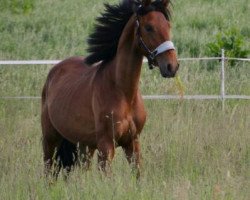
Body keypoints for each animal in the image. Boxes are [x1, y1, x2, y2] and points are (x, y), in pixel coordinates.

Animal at [41, 0, 178, 178]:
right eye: (149, 27)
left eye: (168, 25)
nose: (172, 66)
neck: (123, 92)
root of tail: (54, 71)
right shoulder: (106, 146)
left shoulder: (132, 142)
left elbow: (138, 175)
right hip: (50, 139)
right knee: (48, 171)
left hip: (85, 145)